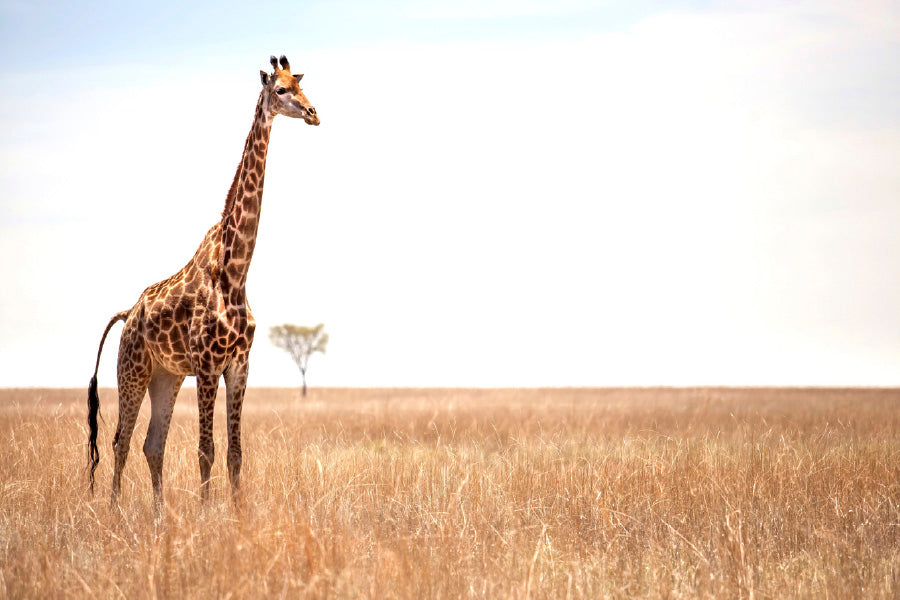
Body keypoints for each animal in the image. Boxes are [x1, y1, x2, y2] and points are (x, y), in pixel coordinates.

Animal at [88, 55, 318, 506]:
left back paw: (159, 516)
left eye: (301, 86)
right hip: (132, 369)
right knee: (120, 442)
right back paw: (115, 512)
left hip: (167, 376)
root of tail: (128, 314)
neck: (236, 271)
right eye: (281, 90)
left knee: (151, 445)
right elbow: (205, 450)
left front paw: (236, 513)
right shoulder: (209, 364)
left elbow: (235, 452)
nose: (314, 113)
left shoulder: (239, 364)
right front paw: (207, 514)